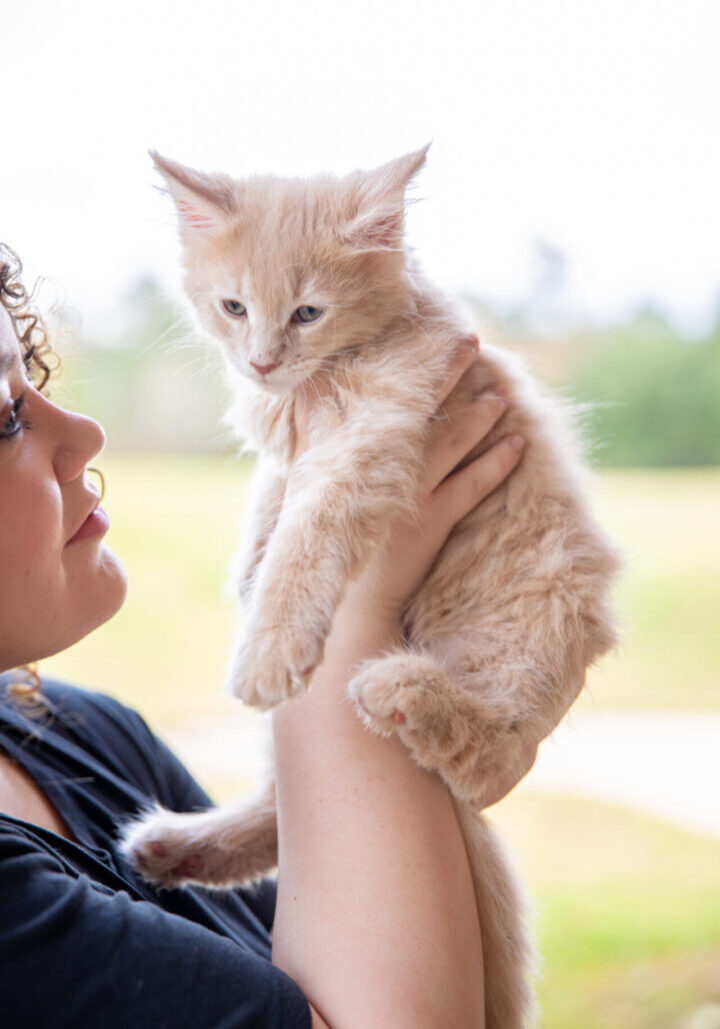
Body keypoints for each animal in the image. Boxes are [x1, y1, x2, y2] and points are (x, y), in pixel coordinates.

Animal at [122, 147, 617, 1029]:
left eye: (308, 312)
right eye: (233, 307)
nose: (261, 360)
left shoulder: (366, 443)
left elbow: (304, 539)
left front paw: (268, 644)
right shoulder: (300, 449)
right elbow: (271, 500)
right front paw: (248, 566)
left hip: (520, 634)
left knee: (486, 756)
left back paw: (404, 693)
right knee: (280, 811)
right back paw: (177, 845)